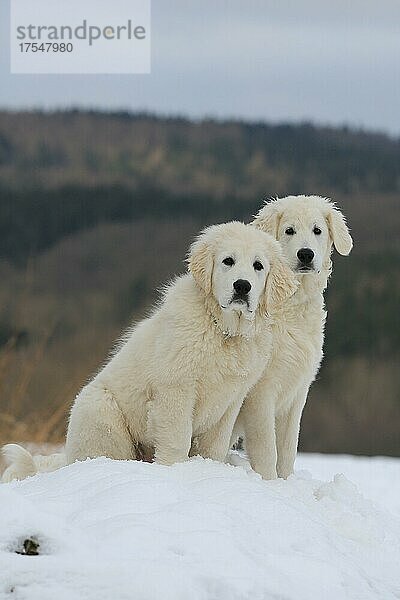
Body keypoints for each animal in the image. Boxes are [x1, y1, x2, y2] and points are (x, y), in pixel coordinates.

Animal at [1, 221, 296, 482]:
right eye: (228, 261)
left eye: (258, 266)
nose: (242, 286)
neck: (223, 332)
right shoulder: (176, 389)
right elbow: (177, 439)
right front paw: (174, 470)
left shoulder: (230, 401)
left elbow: (214, 445)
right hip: (101, 413)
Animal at [234, 196, 354, 478]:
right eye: (289, 230)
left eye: (317, 230)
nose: (306, 254)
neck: (291, 307)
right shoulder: (260, 393)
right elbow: (267, 451)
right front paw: (269, 483)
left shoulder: (296, 394)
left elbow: (287, 451)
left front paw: (285, 482)